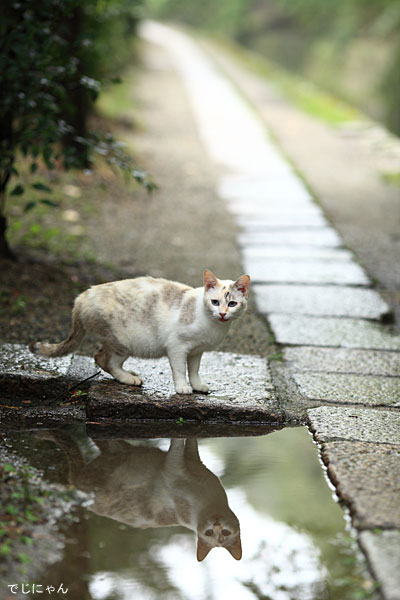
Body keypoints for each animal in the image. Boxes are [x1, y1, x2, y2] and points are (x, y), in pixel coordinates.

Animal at [30, 269, 250, 394]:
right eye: (215, 302)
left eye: (232, 304)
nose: (222, 313)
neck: (213, 326)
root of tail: (82, 296)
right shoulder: (178, 347)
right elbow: (180, 370)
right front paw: (183, 388)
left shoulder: (196, 351)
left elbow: (194, 370)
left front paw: (197, 385)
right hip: (123, 342)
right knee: (104, 359)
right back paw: (128, 378)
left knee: (101, 356)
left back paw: (129, 373)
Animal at [41, 429, 242, 561]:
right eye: (209, 533)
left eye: (225, 532)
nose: (216, 525)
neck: (209, 503)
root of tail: (77, 489)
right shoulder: (173, 468)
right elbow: (180, 442)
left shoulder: (189, 461)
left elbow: (191, 443)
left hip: (116, 453)